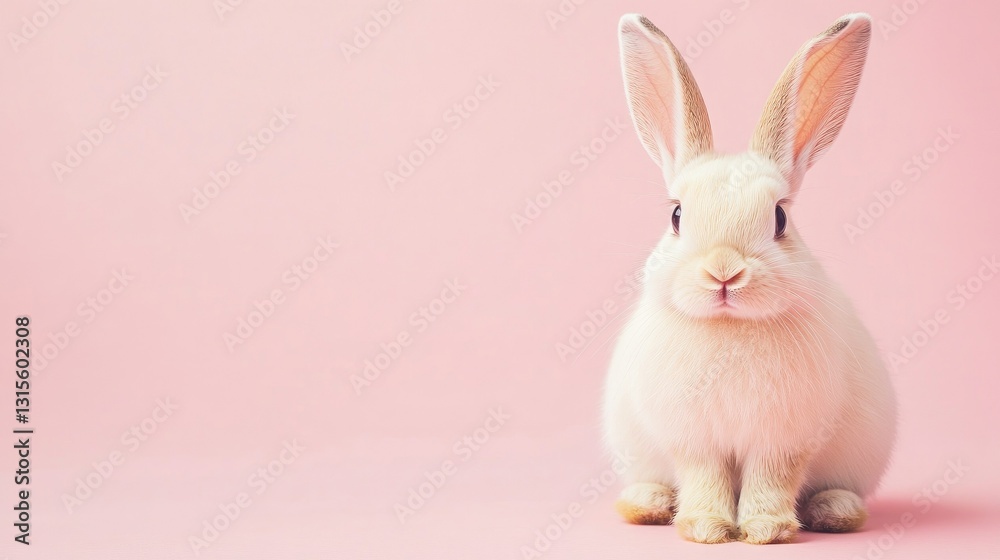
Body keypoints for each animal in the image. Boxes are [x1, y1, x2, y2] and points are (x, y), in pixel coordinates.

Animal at [602, 13, 897, 544]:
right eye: (677, 216)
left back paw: (834, 511)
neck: (731, 329)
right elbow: (704, 477)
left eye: (780, 218)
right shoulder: (694, 440)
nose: (724, 271)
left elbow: (770, 479)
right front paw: (705, 527)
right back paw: (648, 503)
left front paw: (765, 529)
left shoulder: (784, 440)